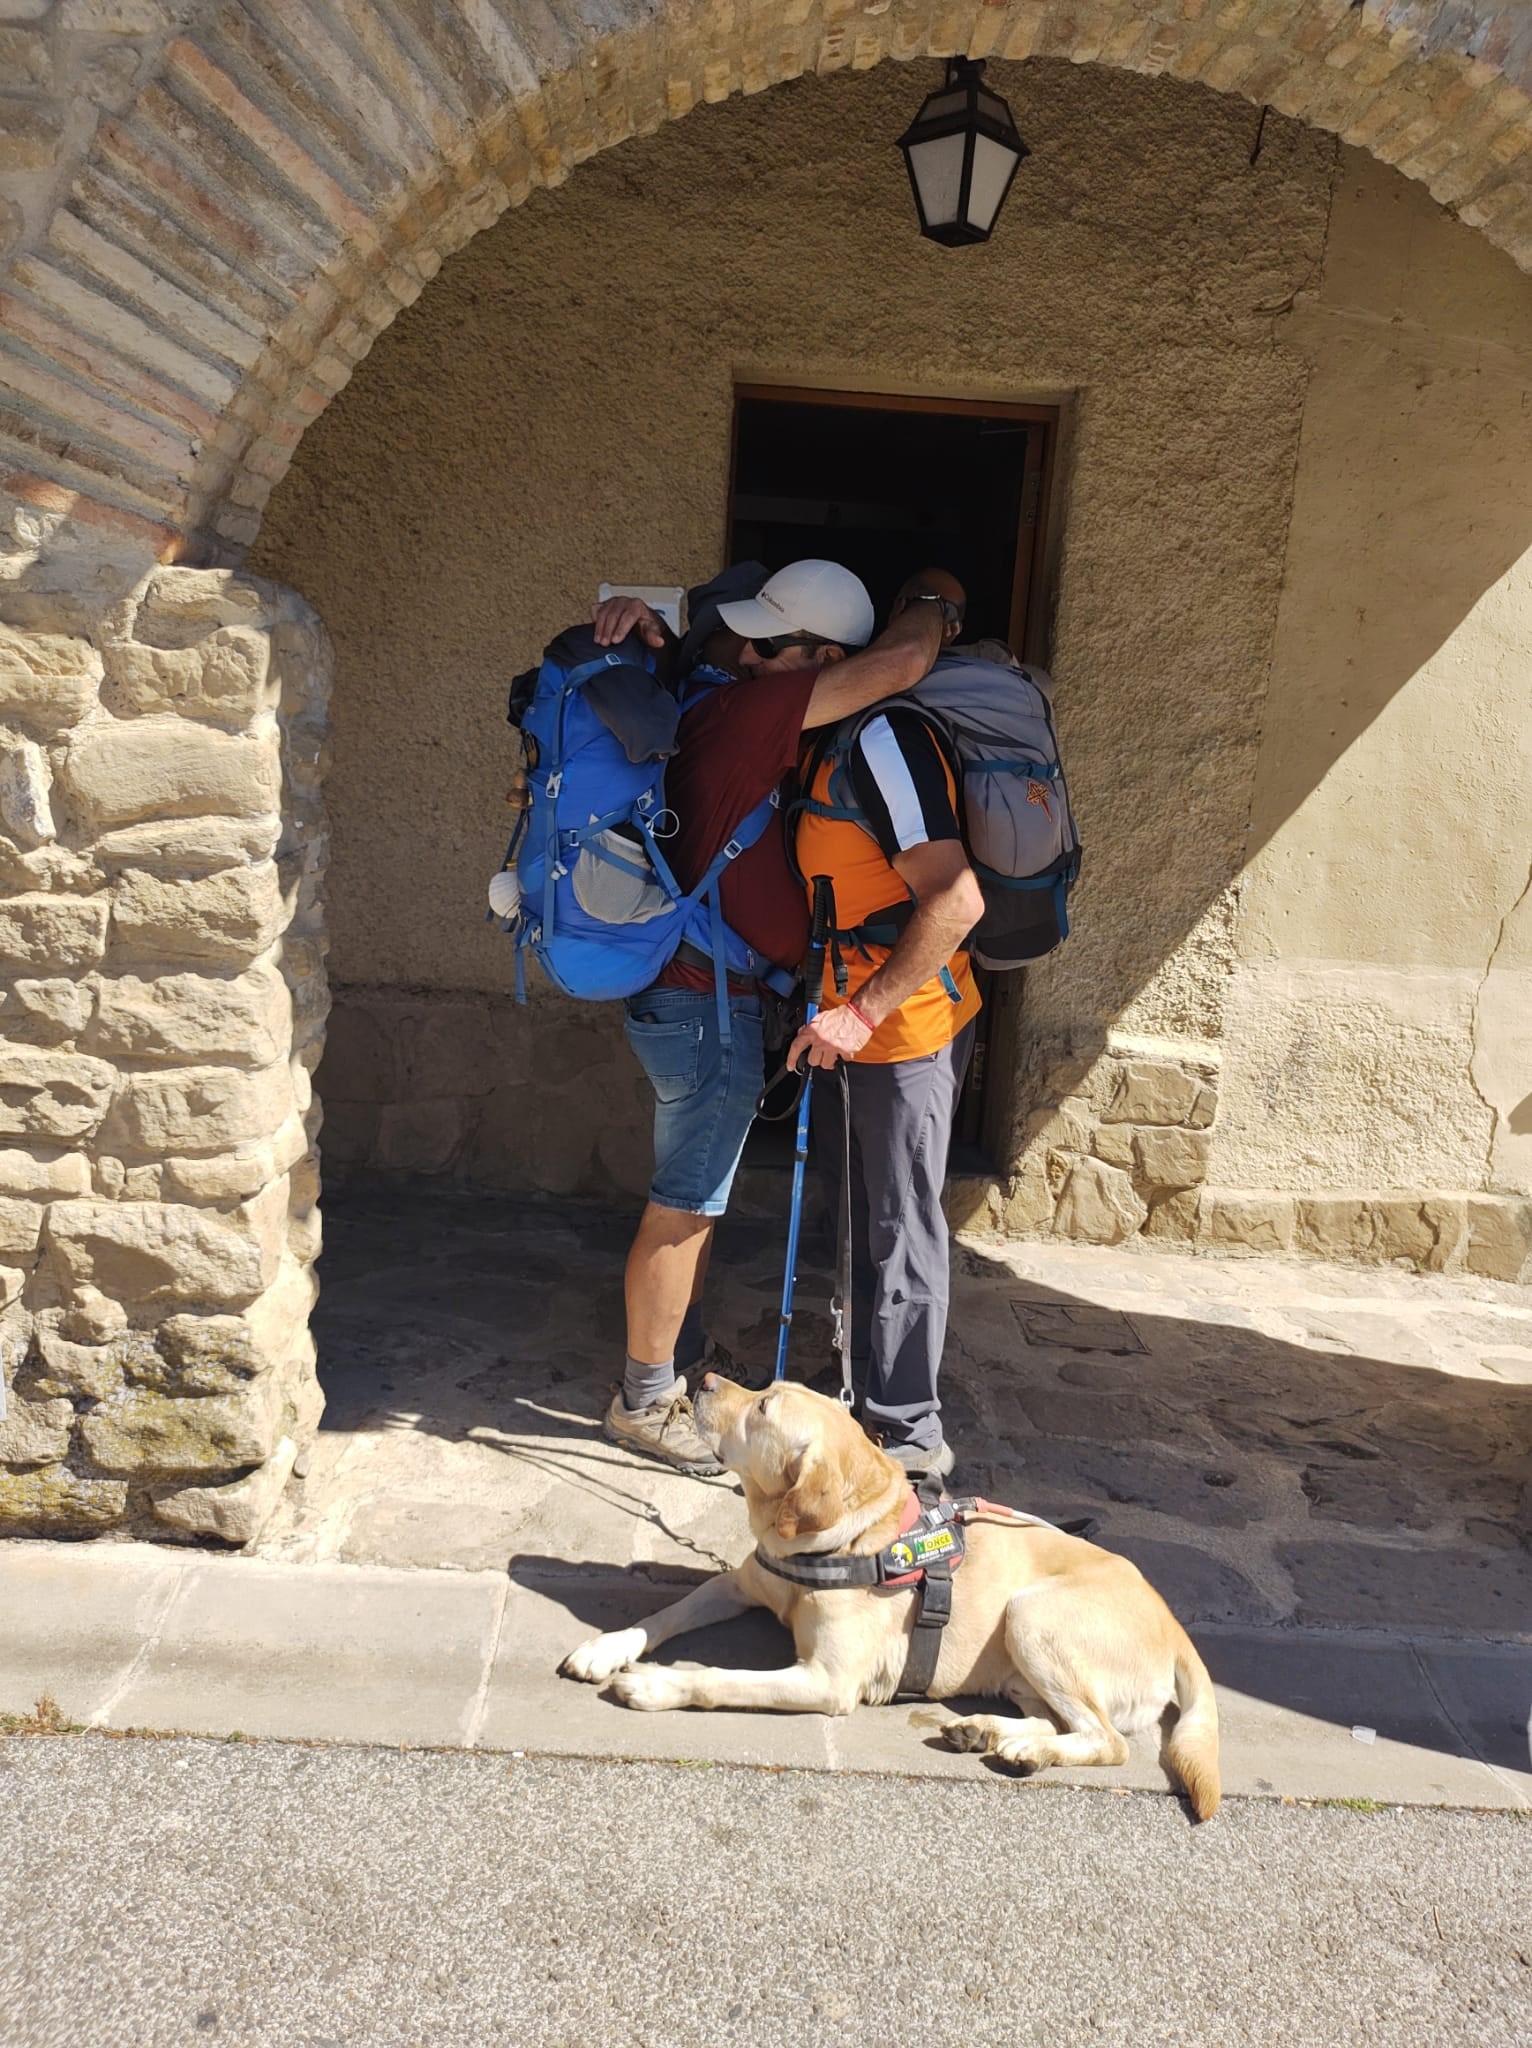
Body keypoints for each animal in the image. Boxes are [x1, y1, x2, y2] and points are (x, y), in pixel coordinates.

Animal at [561, 1368, 1220, 1818]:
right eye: (767, 1386)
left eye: (763, 1406)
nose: (702, 1379)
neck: (843, 1538)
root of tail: (1175, 1626)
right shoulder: (736, 1583)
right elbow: (662, 1615)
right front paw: (604, 1648)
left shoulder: (827, 1682)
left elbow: (719, 1678)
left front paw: (655, 1684)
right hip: (1022, 1656)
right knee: (1062, 1721)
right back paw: (992, 1734)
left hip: (1033, 1614)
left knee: (1110, 1742)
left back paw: (1020, 1748)